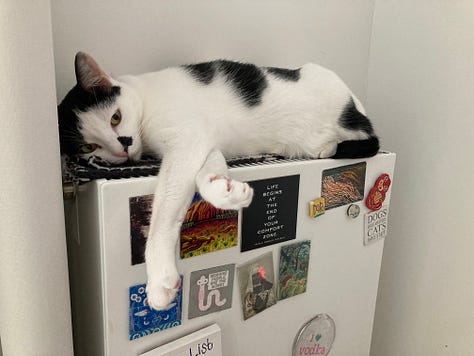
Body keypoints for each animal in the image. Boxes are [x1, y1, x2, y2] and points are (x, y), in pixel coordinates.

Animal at [58, 51, 378, 310]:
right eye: (88, 147)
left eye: (115, 117)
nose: (122, 146)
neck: (145, 100)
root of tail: (358, 108)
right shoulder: (202, 143)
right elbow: (206, 174)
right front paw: (225, 190)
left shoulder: (187, 140)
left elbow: (163, 213)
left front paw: (159, 277)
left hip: (330, 91)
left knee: (368, 139)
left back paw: (331, 148)